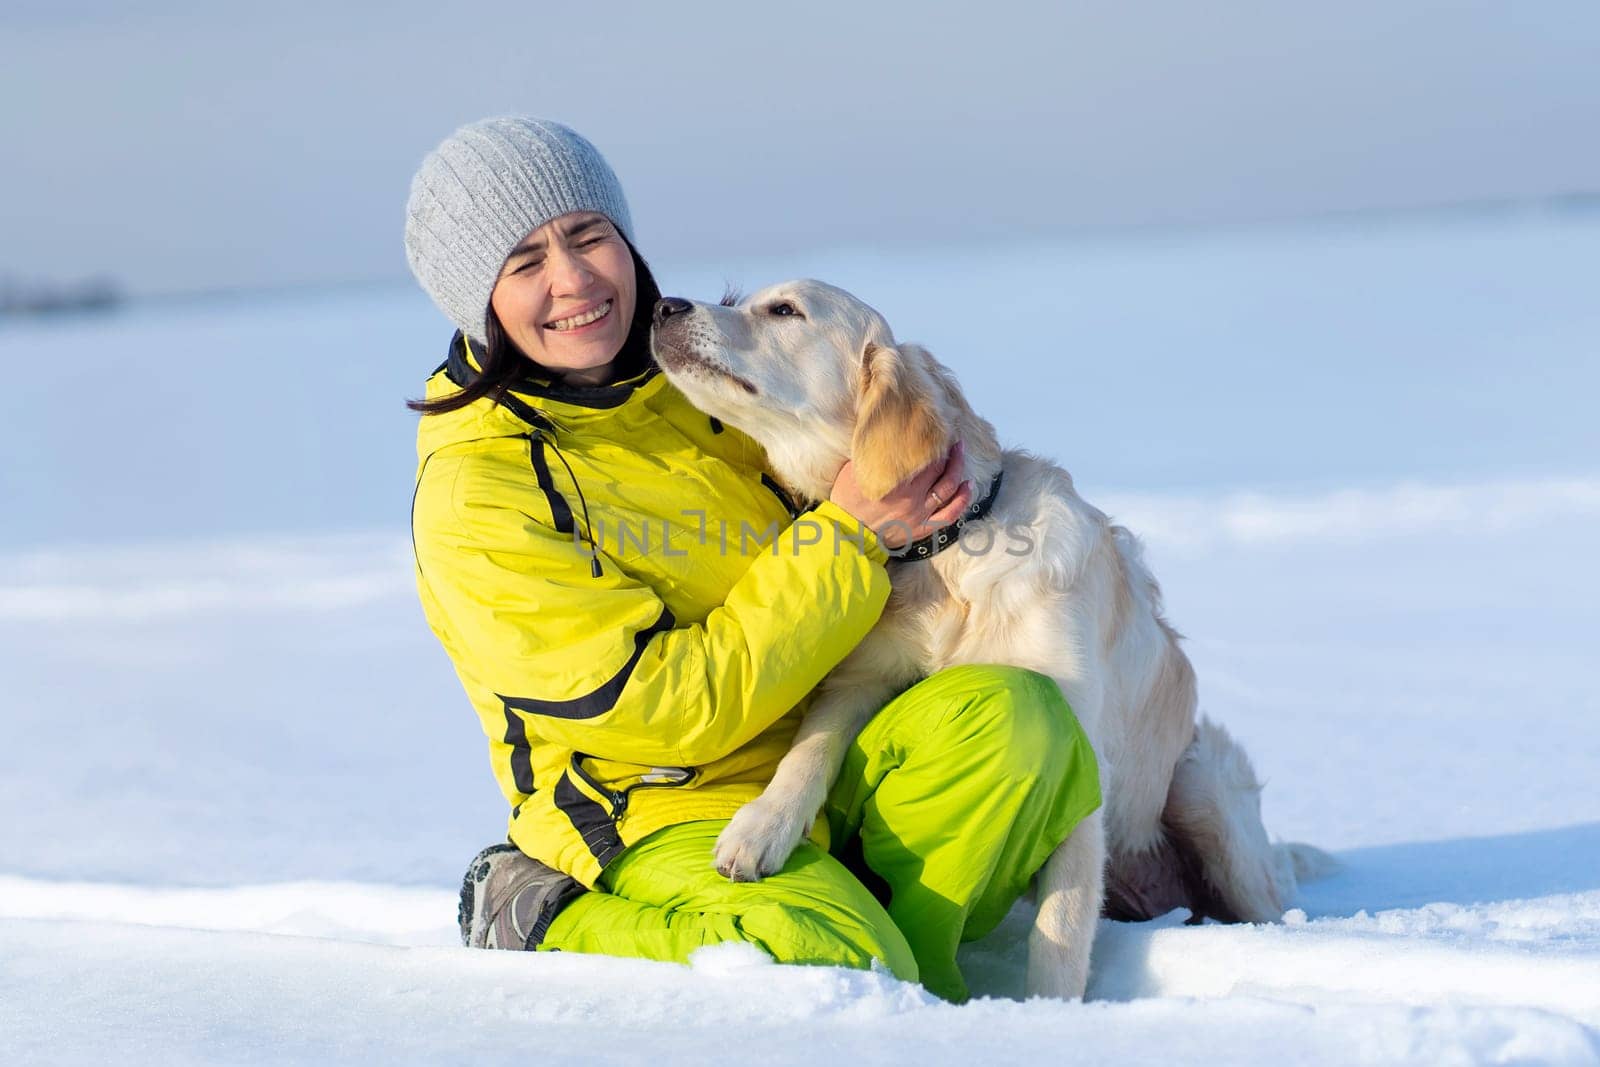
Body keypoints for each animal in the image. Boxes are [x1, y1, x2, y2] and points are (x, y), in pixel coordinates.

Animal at [649, 279, 1324, 998]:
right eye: (737, 299)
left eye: (784, 311)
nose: (665, 307)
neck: (947, 556)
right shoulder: (858, 681)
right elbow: (808, 751)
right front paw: (760, 829)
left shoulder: (1083, 751)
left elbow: (1060, 930)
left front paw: (1046, 1010)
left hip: (1202, 787)